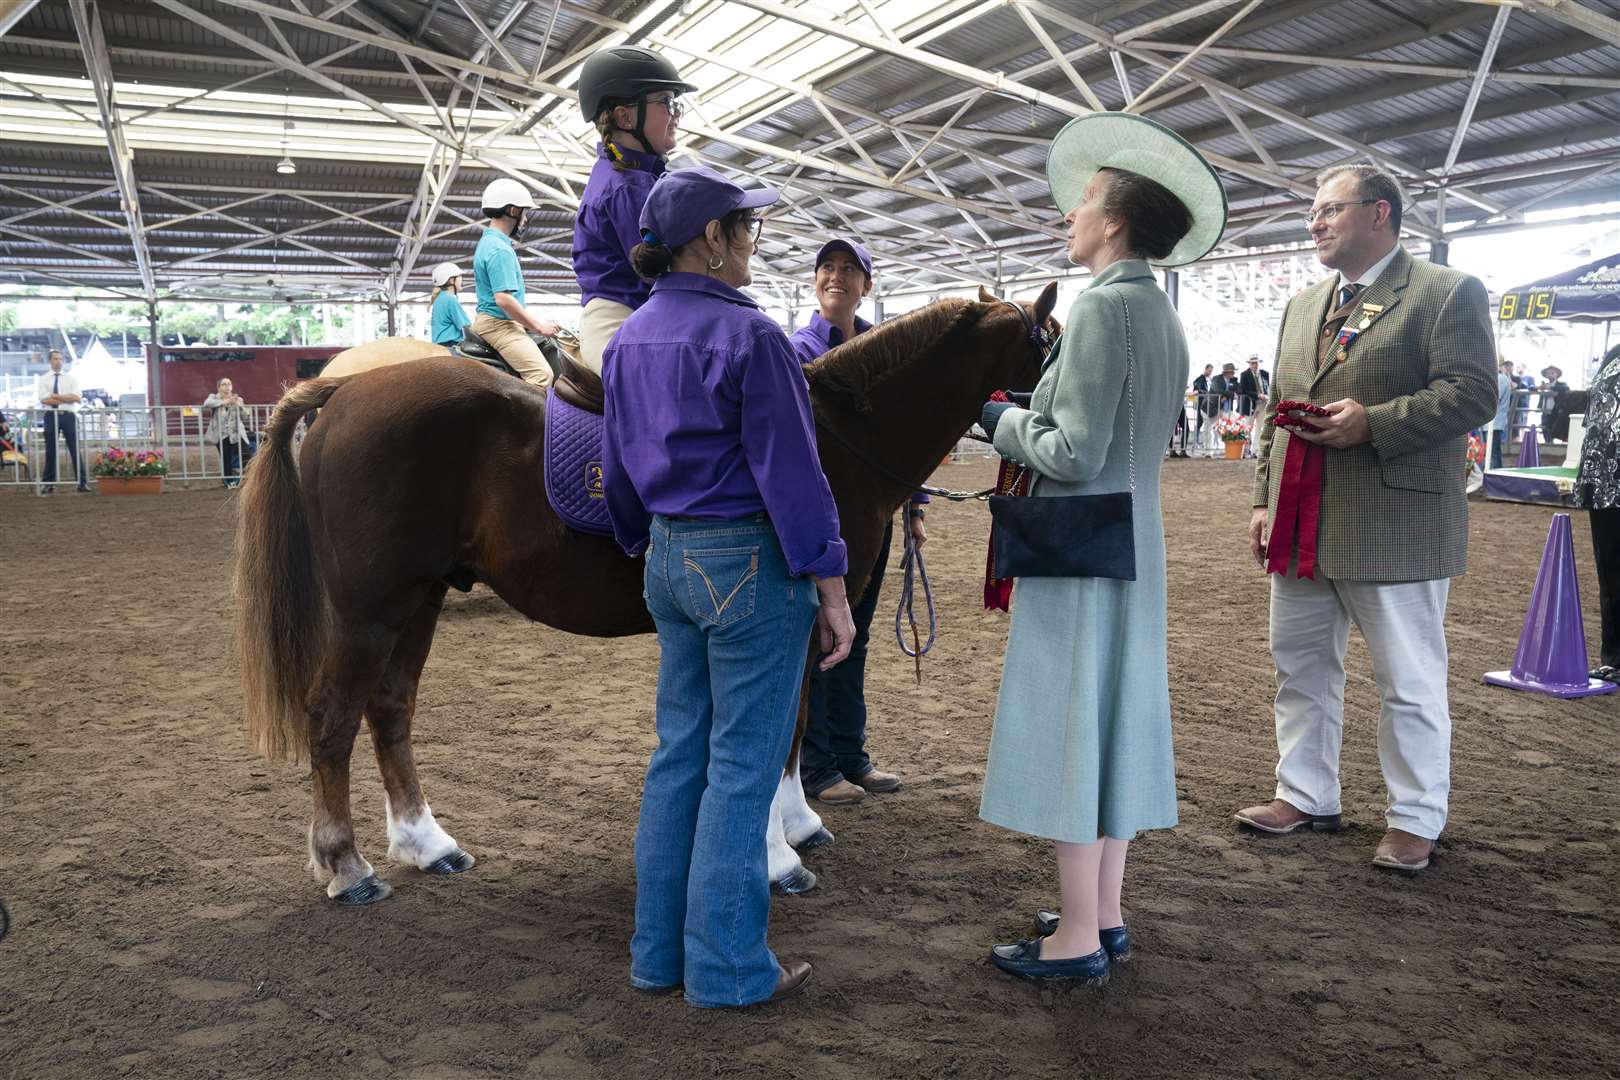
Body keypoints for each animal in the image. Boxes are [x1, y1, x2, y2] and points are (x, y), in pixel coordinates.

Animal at [234, 286, 1056, 906]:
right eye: (1050, 342)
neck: (825, 440)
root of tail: (345, 387)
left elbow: (791, 729)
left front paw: (795, 824)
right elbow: (775, 732)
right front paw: (777, 857)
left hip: (419, 598)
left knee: (390, 707)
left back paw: (425, 843)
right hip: (369, 608)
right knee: (333, 717)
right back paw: (346, 865)